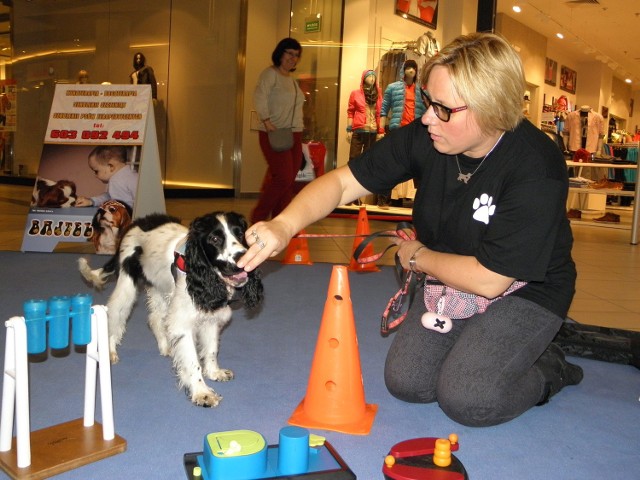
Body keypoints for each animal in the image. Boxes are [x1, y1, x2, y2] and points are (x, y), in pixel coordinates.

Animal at [77, 210, 262, 404]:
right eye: (214, 239)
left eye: (240, 233)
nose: (242, 258)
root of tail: (135, 223)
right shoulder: (183, 323)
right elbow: (192, 362)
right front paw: (201, 392)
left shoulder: (210, 316)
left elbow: (211, 349)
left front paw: (214, 372)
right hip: (127, 286)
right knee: (115, 314)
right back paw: (111, 350)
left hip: (161, 287)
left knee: (155, 318)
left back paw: (166, 346)